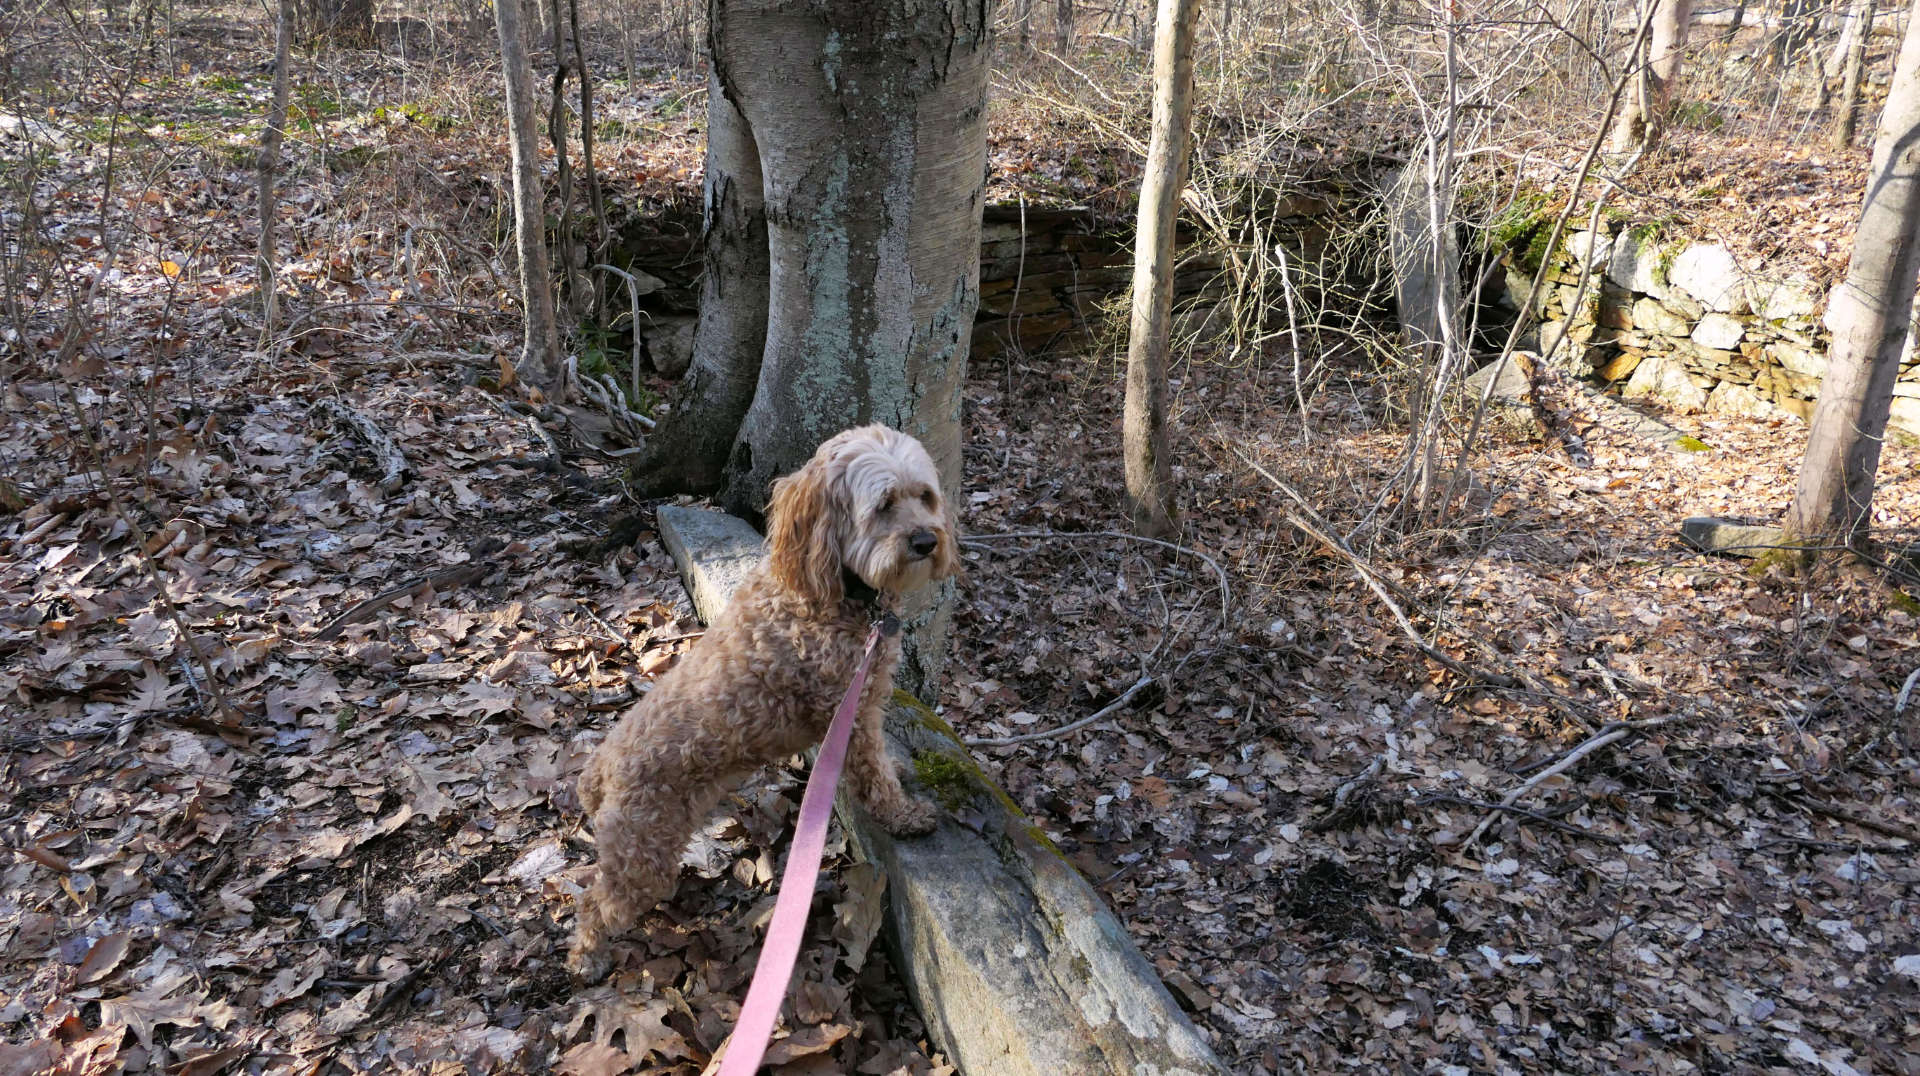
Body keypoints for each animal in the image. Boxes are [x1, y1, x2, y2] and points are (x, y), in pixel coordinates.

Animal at [568, 422, 960, 983]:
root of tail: (601, 769)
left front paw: (901, 774)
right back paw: (587, 956)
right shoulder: (848, 709)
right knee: (595, 903)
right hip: (639, 852)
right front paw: (903, 815)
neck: (835, 591)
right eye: (884, 505)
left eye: (924, 497)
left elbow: (882, 761)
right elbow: (873, 774)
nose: (928, 540)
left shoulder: (865, 701)